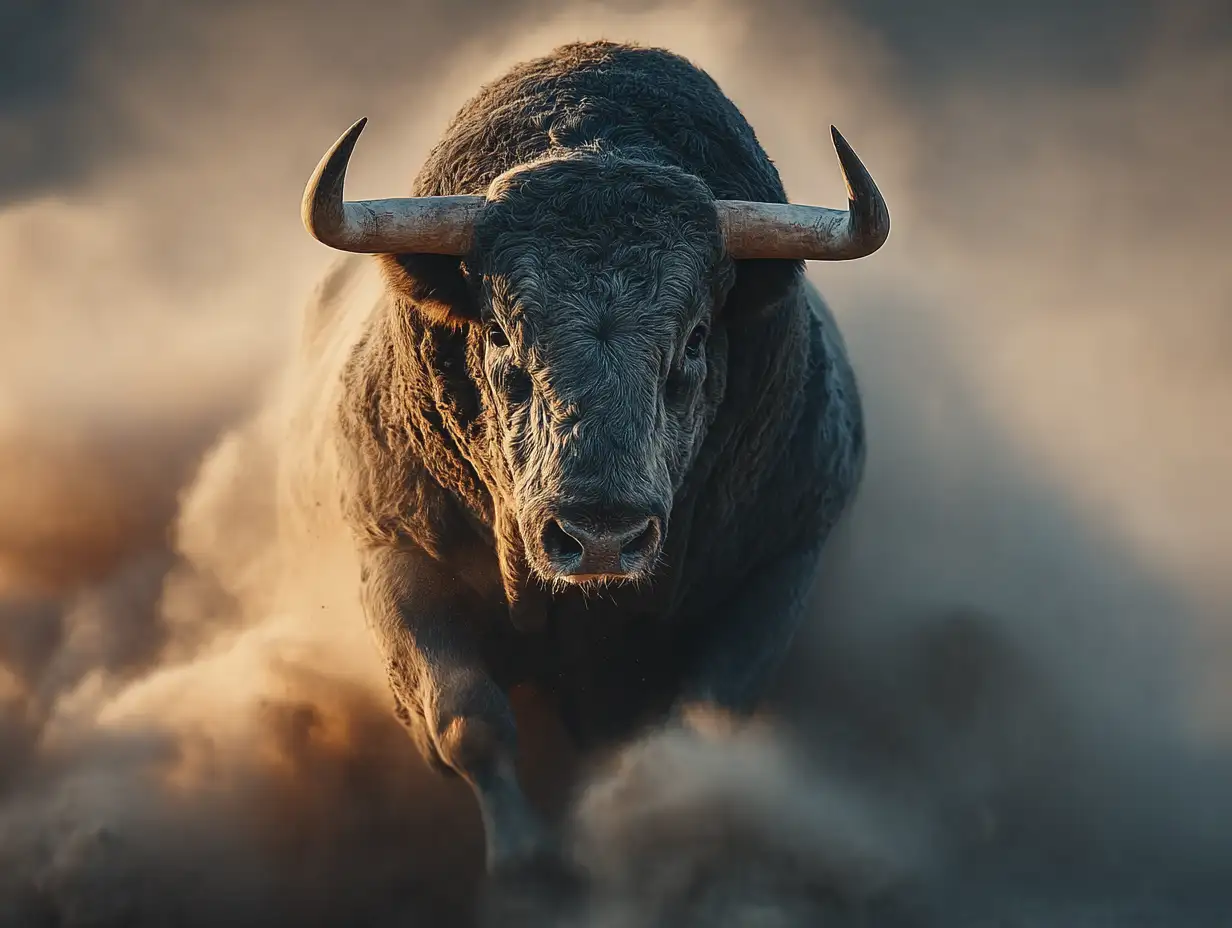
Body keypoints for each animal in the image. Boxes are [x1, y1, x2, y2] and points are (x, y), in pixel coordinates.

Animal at [298, 40, 889, 875]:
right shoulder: (395, 555)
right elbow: (466, 719)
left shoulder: (782, 562)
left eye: (696, 337)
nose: (600, 535)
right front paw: (525, 862)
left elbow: (701, 725)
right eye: (500, 331)